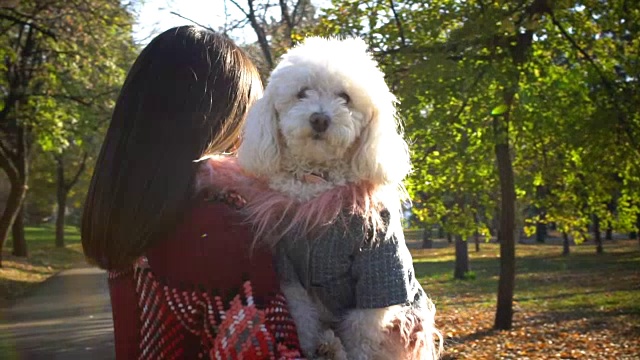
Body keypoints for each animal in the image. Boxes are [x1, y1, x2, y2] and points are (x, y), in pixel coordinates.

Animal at [235, 37, 440, 360]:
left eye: (345, 97)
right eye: (302, 93)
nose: (319, 118)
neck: (318, 184)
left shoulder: (378, 267)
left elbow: (362, 332)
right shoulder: (289, 270)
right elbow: (302, 318)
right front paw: (309, 346)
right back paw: (327, 345)